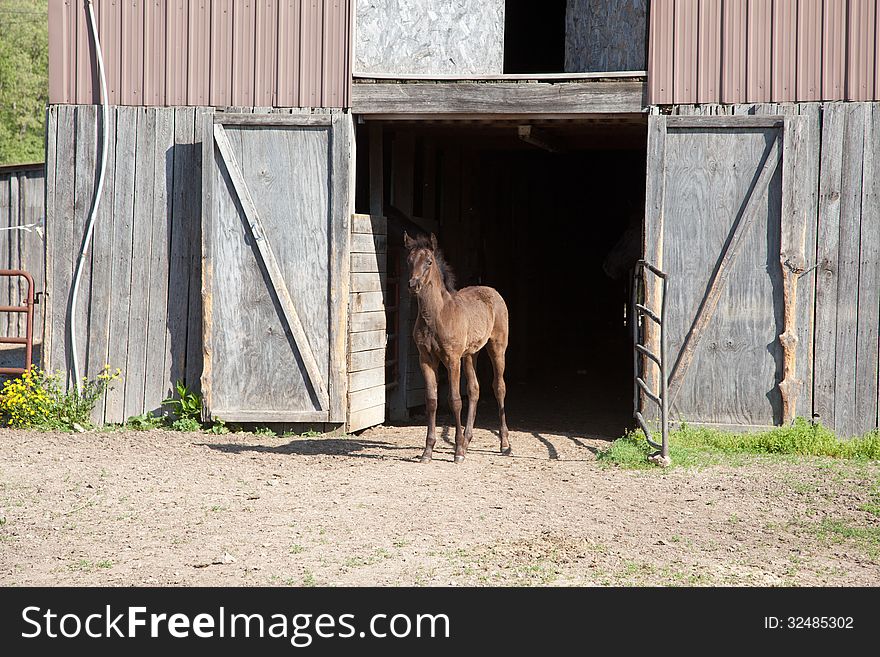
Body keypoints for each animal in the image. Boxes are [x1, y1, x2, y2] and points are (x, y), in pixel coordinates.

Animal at [404, 231, 512, 462]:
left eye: (429, 261)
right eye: (409, 260)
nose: (413, 285)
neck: (436, 315)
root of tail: (492, 291)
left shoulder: (452, 359)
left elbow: (454, 400)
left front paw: (458, 452)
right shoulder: (426, 359)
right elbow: (432, 400)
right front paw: (428, 451)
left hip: (497, 347)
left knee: (499, 387)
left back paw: (504, 444)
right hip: (471, 354)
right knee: (474, 389)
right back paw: (467, 440)